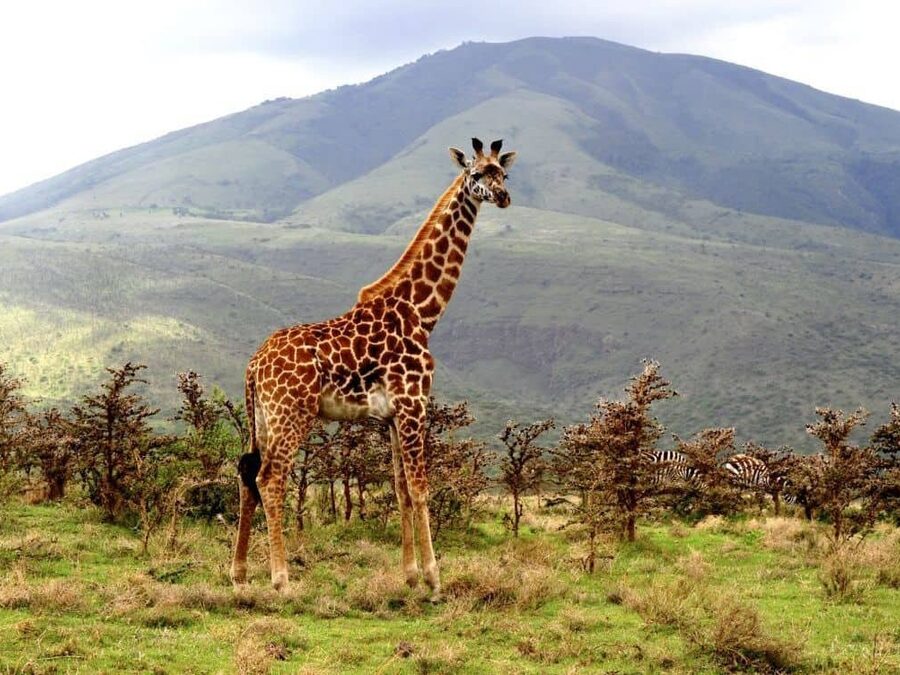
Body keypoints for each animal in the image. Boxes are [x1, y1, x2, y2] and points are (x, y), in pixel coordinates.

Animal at [231, 137, 517, 599]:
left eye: (504, 174)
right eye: (476, 174)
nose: (504, 197)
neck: (422, 311)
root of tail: (254, 364)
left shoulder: (393, 415)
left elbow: (400, 490)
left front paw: (410, 576)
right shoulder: (414, 403)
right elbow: (420, 487)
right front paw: (434, 580)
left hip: (262, 417)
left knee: (247, 471)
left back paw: (238, 574)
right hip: (291, 414)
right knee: (271, 478)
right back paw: (280, 578)